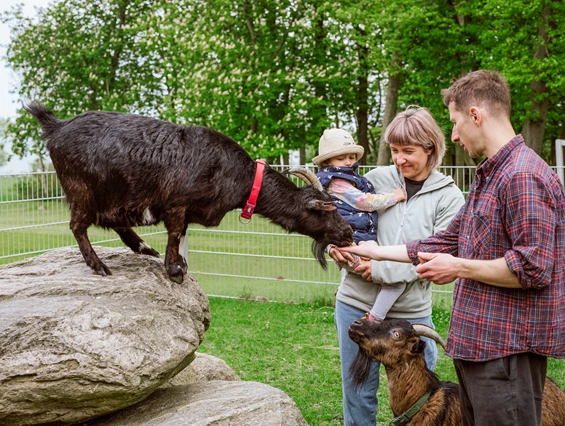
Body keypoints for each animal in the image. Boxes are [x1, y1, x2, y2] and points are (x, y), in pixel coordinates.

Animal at [27, 103, 352, 282]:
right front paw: (174, 271)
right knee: (78, 225)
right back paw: (99, 265)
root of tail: (56, 127)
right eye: (327, 210)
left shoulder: (187, 211)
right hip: (82, 190)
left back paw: (143, 248)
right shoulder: (176, 202)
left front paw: (179, 264)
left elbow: (181, 234)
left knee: (112, 222)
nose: (348, 233)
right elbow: (174, 232)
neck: (241, 176)